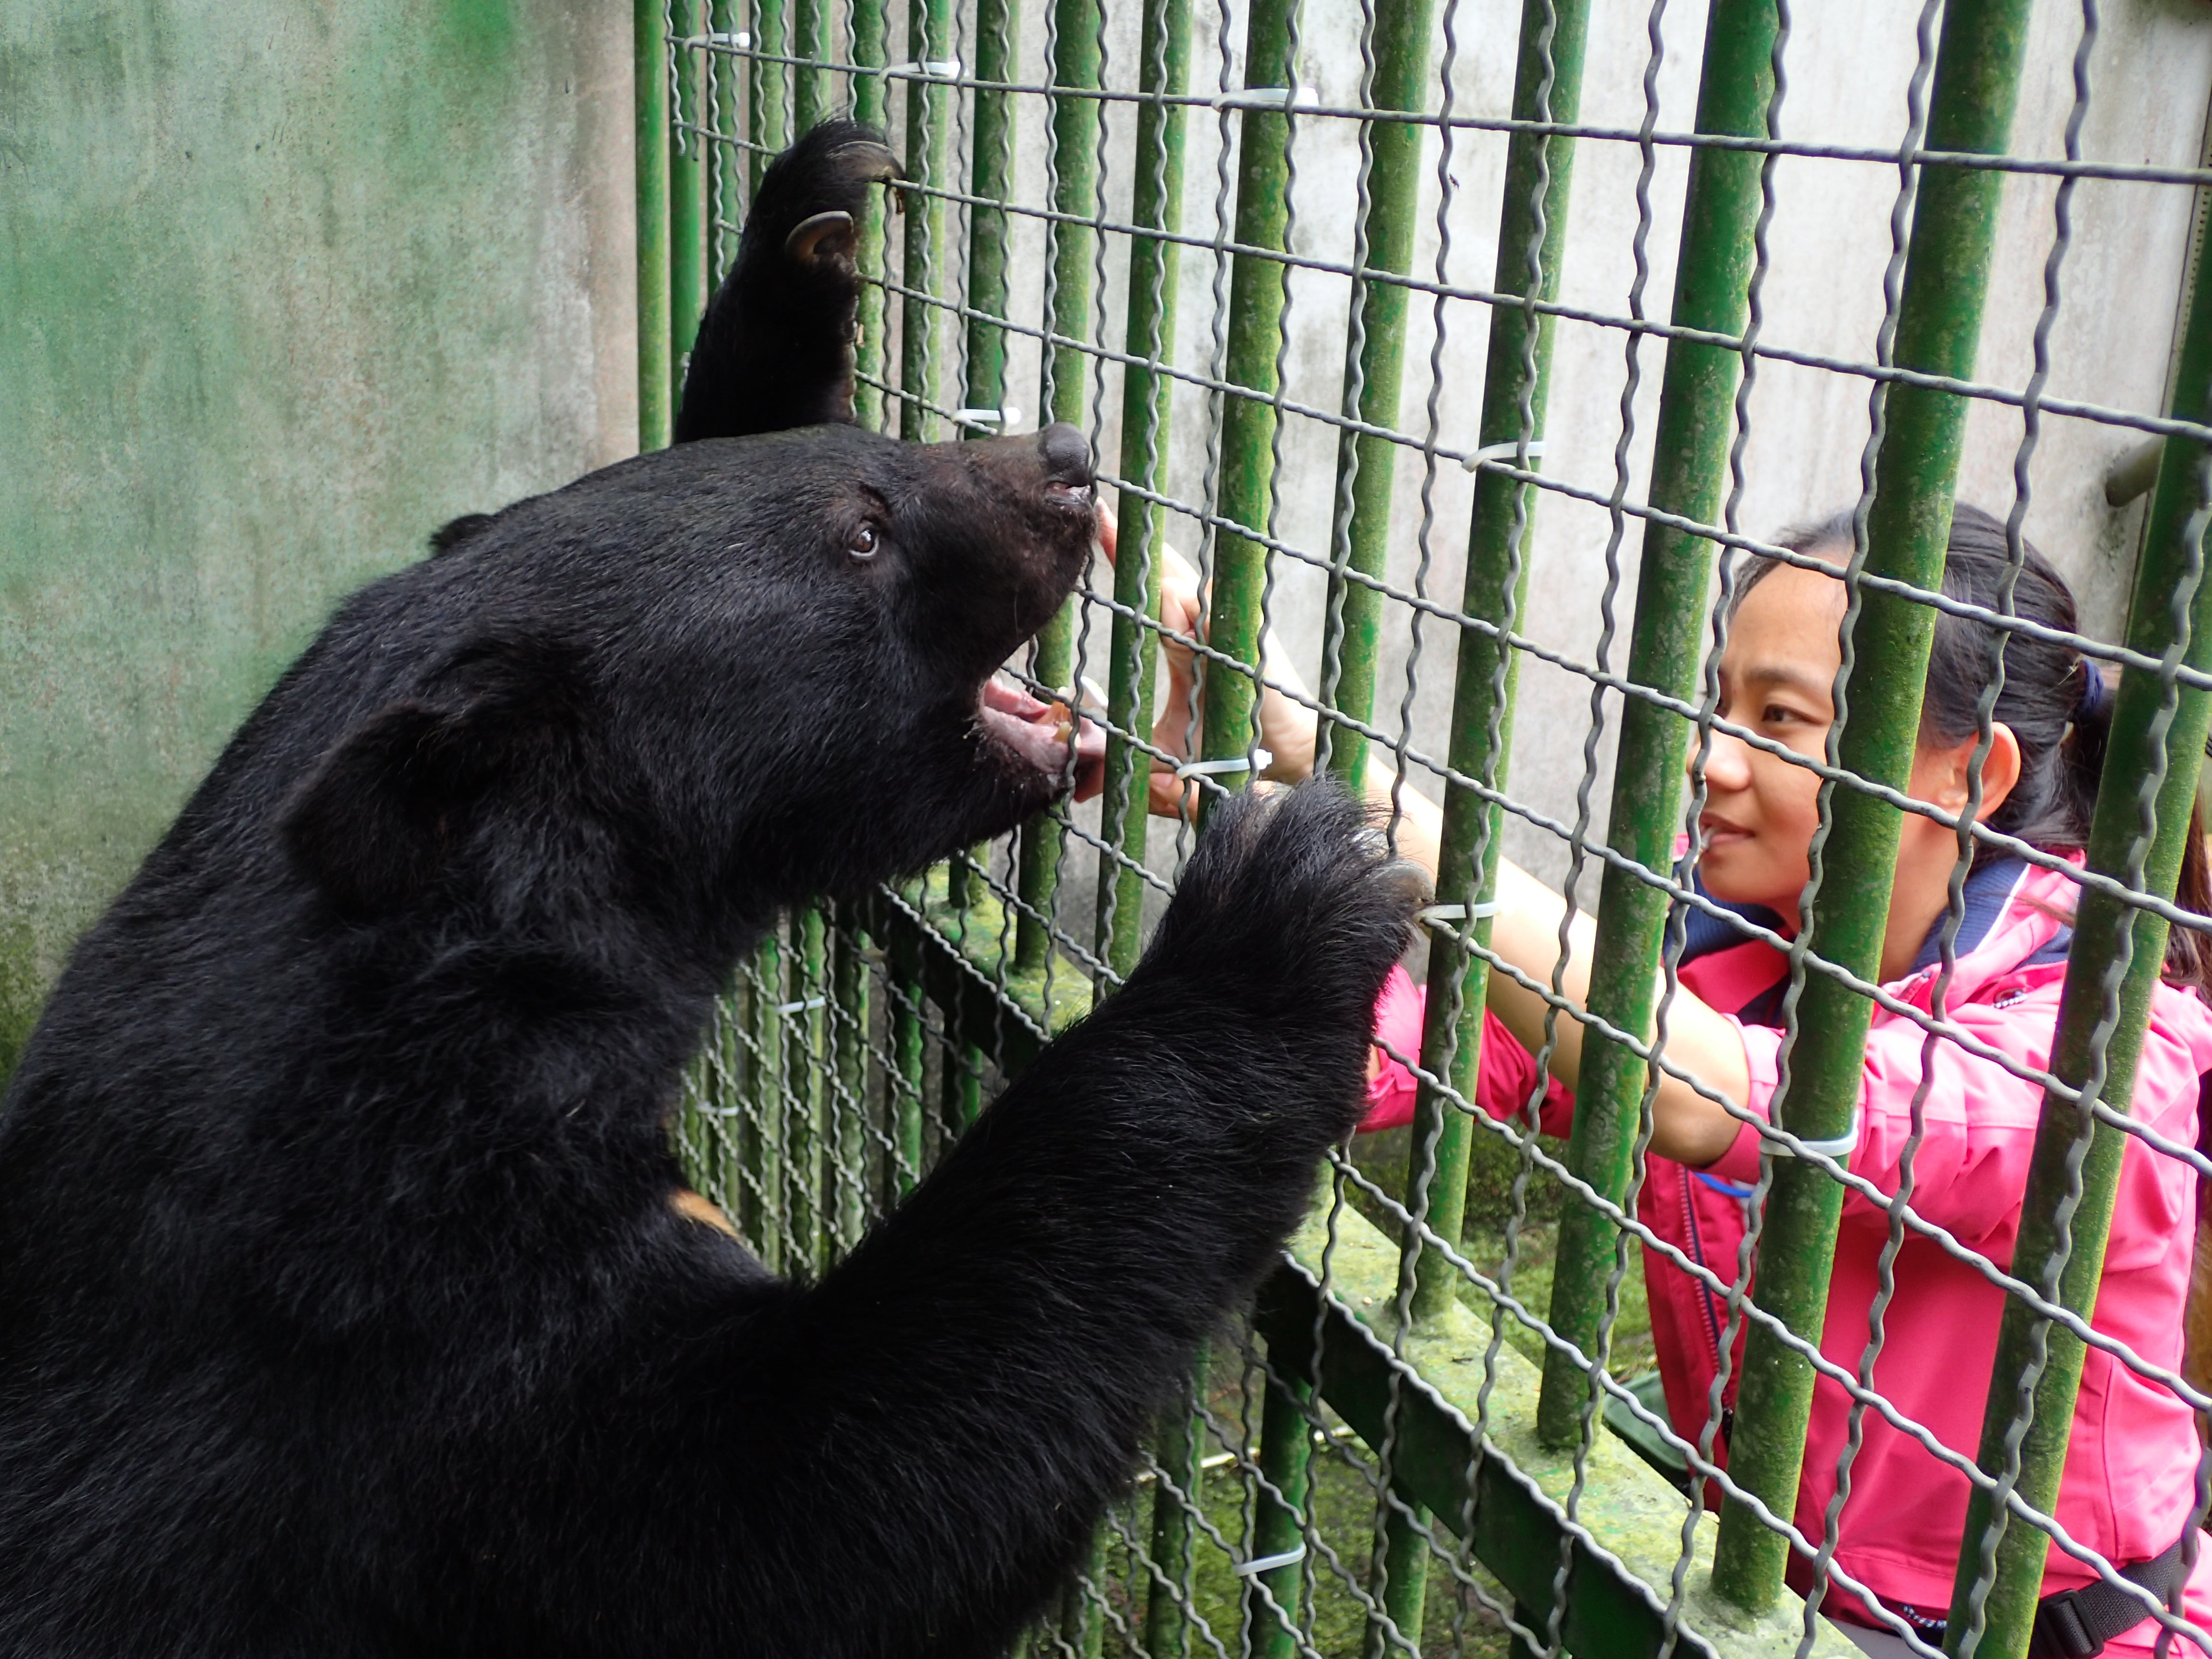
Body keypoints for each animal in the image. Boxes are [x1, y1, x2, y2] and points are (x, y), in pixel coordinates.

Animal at [0, 123, 1416, 1654]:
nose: (1071, 459)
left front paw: (815, 215)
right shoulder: (396, 1337)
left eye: (872, 456)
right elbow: (812, 1512)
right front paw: (1285, 899)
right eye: (864, 533)